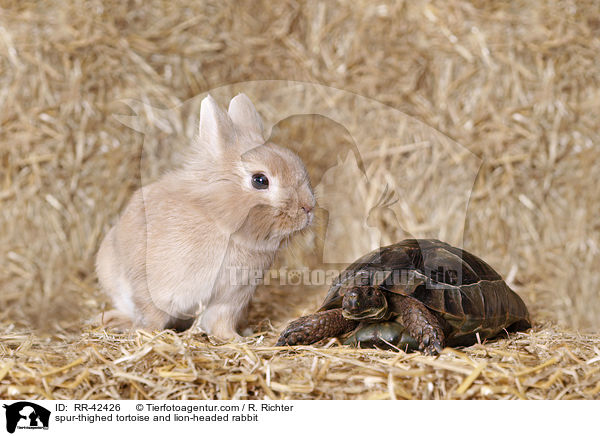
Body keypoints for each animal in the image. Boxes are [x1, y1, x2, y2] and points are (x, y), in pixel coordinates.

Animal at [95, 93, 314, 338]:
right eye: (260, 180)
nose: (308, 207)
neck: (221, 222)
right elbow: (151, 315)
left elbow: (220, 324)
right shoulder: (153, 289)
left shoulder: (228, 300)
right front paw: (149, 334)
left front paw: (236, 340)